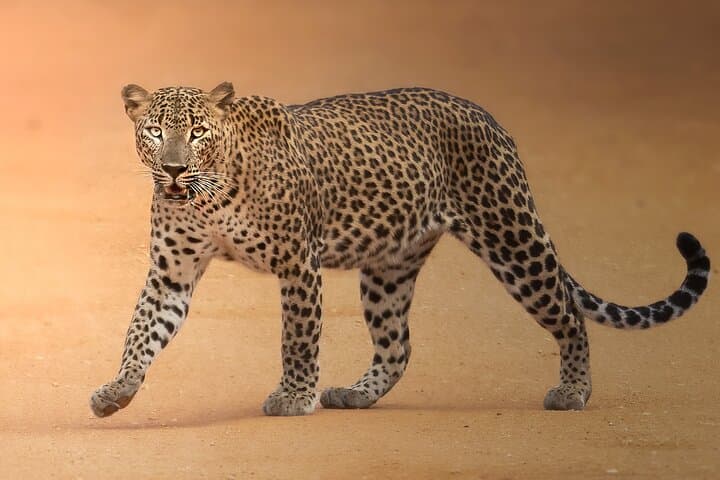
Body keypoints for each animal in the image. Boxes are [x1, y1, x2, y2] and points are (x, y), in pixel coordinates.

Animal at [90, 83, 710, 417]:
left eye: (197, 132)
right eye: (154, 131)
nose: (173, 168)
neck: (207, 196)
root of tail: (487, 115)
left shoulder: (298, 264)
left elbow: (297, 339)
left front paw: (294, 397)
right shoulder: (171, 272)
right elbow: (141, 330)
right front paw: (118, 390)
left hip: (511, 236)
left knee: (569, 314)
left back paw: (574, 391)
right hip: (388, 268)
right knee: (398, 346)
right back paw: (356, 394)